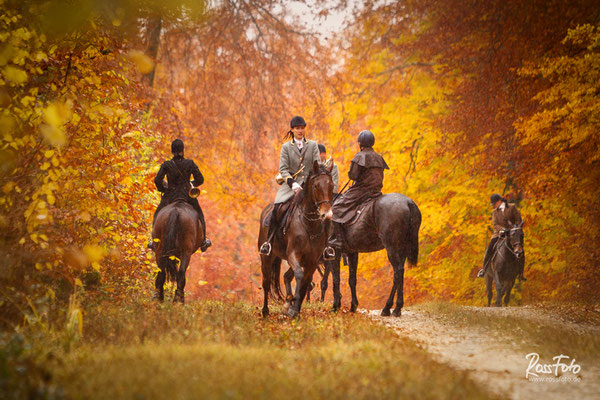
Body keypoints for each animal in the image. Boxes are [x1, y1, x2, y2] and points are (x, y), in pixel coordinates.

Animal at [256, 161, 336, 318]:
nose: (327, 215)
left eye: (331, 186)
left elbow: (306, 281)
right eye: (316, 186)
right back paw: (265, 311)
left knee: (287, 276)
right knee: (266, 282)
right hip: (266, 257)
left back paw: (287, 302)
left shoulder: (312, 260)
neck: (309, 225)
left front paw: (295, 308)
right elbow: (300, 275)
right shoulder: (293, 254)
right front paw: (293, 306)